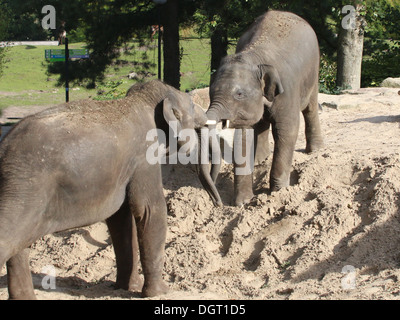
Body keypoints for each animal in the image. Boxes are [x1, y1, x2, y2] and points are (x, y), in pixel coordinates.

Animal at [0, 80, 206, 300]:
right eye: (192, 105)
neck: (138, 101)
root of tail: (4, 147)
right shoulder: (143, 157)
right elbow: (149, 209)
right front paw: (159, 292)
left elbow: (120, 218)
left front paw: (127, 287)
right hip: (26, 188)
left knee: (19, 246)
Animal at [198, 10, 324, 206]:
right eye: (211, 92)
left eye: (239, 94)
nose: (217, 202)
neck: (255, 55)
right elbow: (243, 137)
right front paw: (243, 202)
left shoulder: (287, 90)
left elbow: (287, 131)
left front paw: (277, 193)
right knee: (262, 123)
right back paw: (259, 159)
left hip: (313, 71)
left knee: (309, 108)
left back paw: (315, 150)